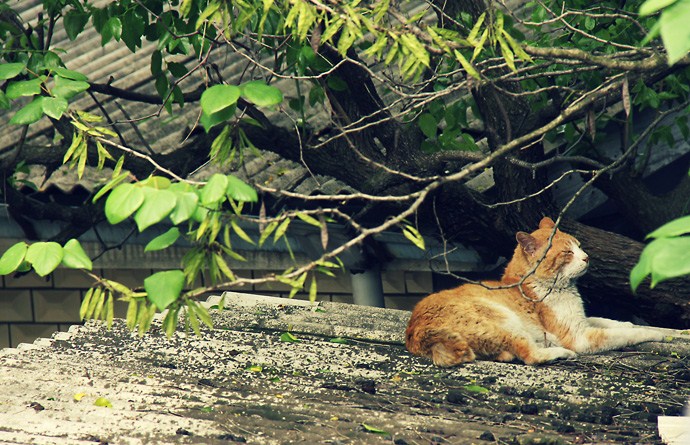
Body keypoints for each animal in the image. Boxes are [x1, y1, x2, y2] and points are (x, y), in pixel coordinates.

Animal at [406, 217, 664, 366]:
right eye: (567, 253)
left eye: (579, 246)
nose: (587, 257)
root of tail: (416, 331)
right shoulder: (580, 336)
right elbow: (627, 333)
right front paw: (657, 334)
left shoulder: (582, 321)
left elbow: (616, 323)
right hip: (506, 321)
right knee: (530, 356)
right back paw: (559, 352)